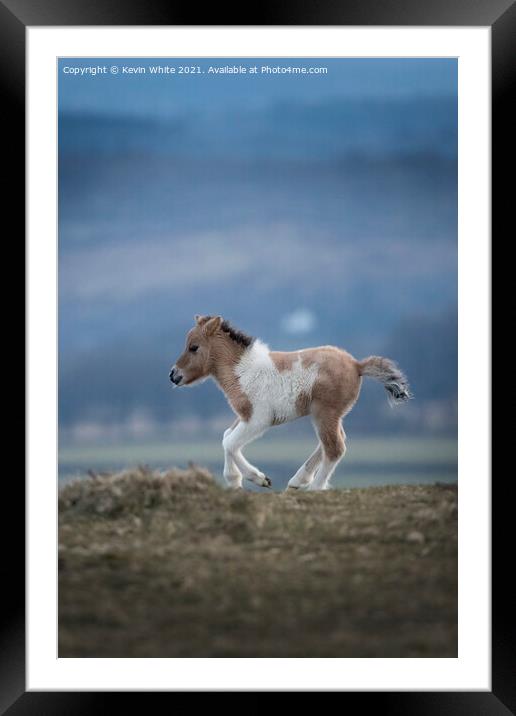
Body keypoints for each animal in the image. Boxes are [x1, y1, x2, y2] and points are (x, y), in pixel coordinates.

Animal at [170, 314, 412, 492]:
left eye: (194, 347)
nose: (173, 375)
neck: (242, 371)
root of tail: (357, 365)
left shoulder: (258, 419)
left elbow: (229, 442)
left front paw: (258, 479)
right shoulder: (244, 416)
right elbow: (226, 437)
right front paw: (234, 481)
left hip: (325, 414)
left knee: (335, 448)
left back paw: (313, 489)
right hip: (327, 415)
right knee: (333, 442)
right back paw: (298, 482)